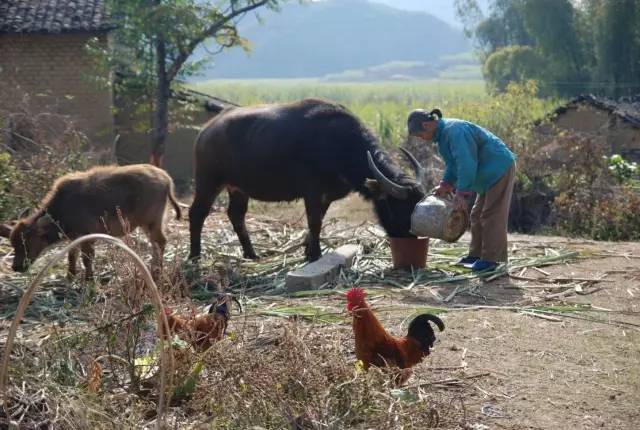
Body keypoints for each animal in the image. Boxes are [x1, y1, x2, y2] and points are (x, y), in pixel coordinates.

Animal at [0, 164, 180, 278]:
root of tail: (165, 178)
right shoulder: (73, 238)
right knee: (156, 243)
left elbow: (87, 258)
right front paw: (70, 275)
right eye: (13, 244)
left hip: (151, 222)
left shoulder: (87, 236)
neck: (63, 207)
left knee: (160, 242)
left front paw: (89, 279)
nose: (16, 267)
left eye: (27, 242)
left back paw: (156, 271)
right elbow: (72, 255)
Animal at [190, 98, 430, 262]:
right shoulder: (312, 192)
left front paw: (307, 250)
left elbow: (318, 221)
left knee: (236, 215)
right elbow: (314, 222)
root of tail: (207, 130)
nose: (410, 238)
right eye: (399, 209)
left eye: (416, 207)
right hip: (208, 181)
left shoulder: (327, 196)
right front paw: (315, 254)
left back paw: (251, 254)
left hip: (238, 188)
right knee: (197, 213)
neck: (340, 144)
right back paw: (195, 256)